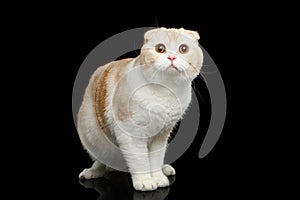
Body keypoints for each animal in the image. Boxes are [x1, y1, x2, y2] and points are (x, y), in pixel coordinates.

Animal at [77, 27, 204, 191]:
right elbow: (140, 160)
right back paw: (93, 171)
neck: (166, 91)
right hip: (92, 135)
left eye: (183, 49)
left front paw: (158, 178)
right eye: (160, 49)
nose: (171, 57)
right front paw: (145, 181)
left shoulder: (161, 135)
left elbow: (155, 159)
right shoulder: (131, 133)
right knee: (101, 160)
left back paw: (165, 168)